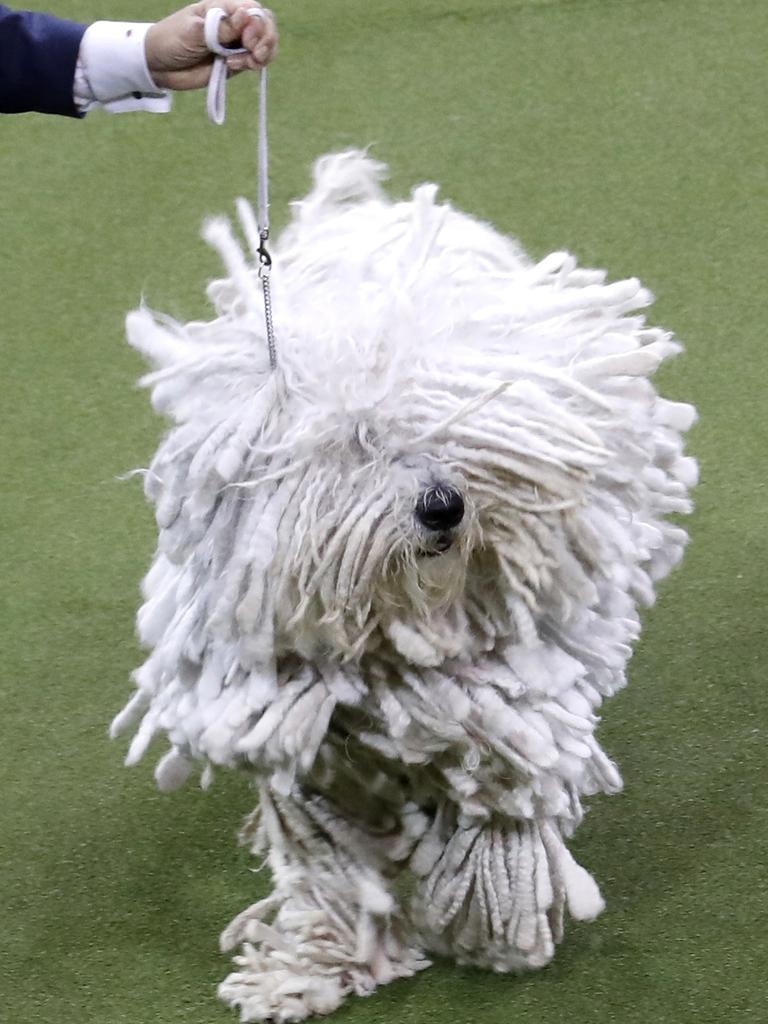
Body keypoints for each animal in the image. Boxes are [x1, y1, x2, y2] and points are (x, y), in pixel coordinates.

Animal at [112, 151, 696, 1024]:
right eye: (360, 441)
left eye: (459, 432)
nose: (443, 505)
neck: (388, 632)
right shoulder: (301, 737)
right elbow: (328, 856)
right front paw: (319, 962)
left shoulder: (503, 706)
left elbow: (499, 807)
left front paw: (487, 922)